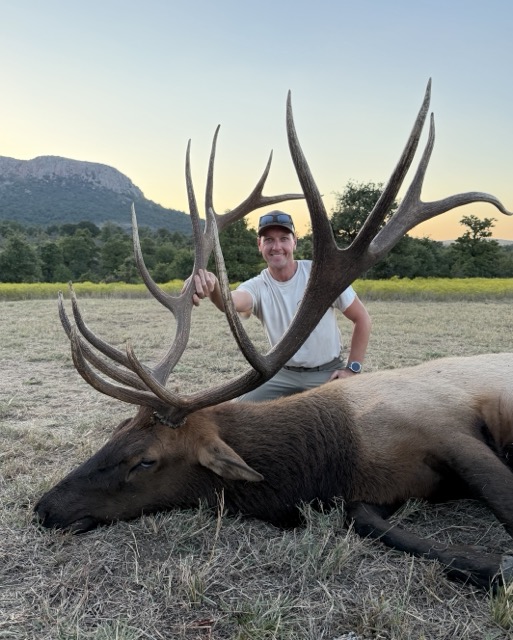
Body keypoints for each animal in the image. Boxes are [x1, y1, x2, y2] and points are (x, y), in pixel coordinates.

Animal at [34, 80, 513, 589]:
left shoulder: (446, 426)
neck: (338, 460)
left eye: (145, 459)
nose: (43, 508)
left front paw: (499, 563)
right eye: (116, 429)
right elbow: (367, 521)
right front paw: (487, 561)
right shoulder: (374, 493)